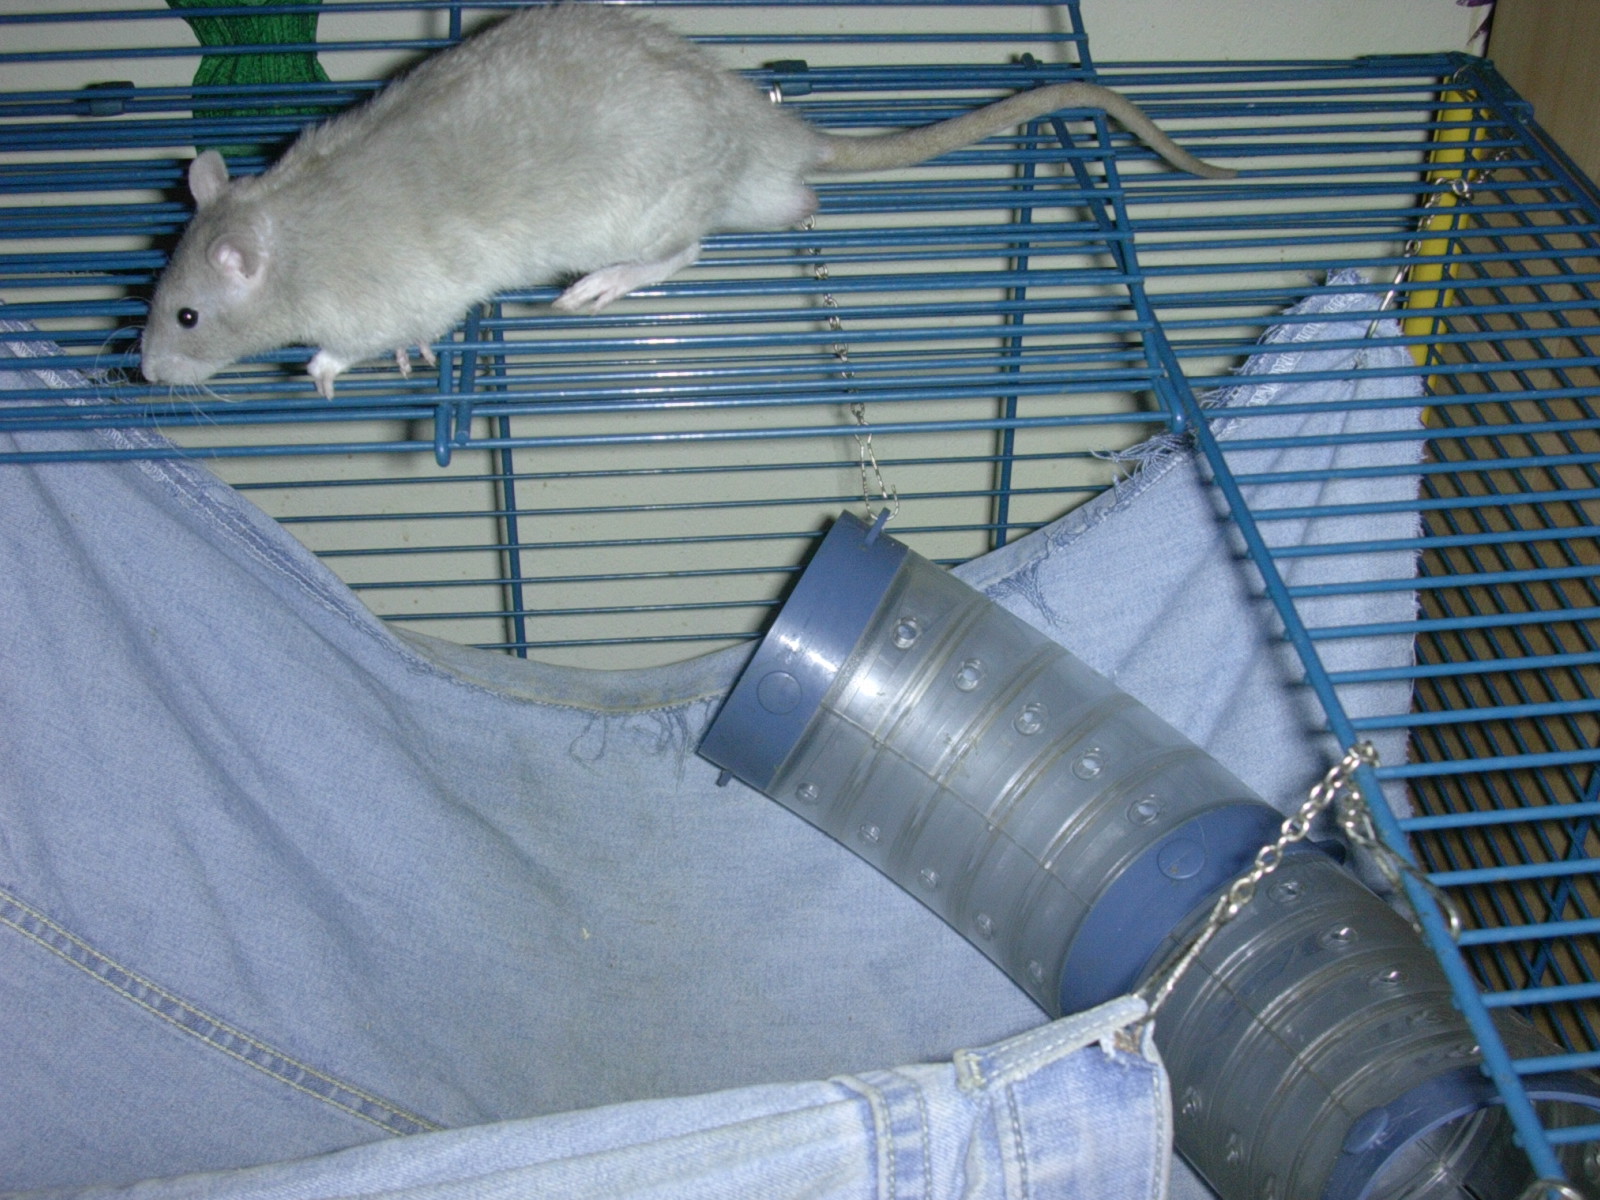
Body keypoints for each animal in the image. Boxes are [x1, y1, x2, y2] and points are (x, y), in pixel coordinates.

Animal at [140, 3, 1235, 399]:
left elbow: (371, 335)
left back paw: (601, 288)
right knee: (789, 210)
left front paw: (322, 366)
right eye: (155, 299)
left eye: (187, 316)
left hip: (642, 211)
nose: (144, 372)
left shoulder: (386, 293)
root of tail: (767, 133)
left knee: (681, 254)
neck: (284, 221)